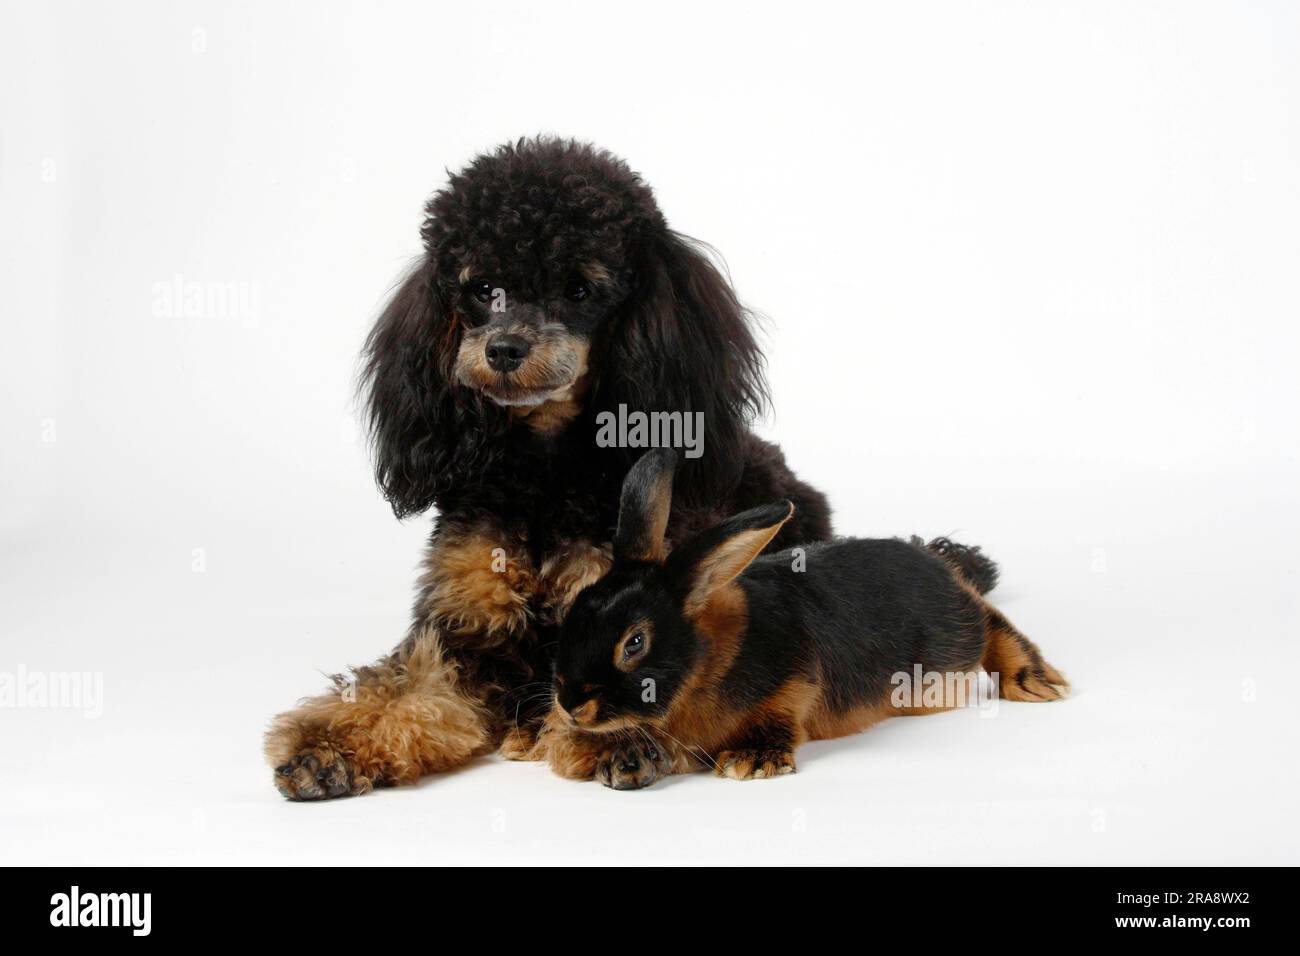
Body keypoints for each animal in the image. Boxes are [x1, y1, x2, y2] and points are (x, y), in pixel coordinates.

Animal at [537, 448, 1068, 789]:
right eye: (574, 610)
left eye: (635, 643)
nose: (570, 704)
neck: (704, 663)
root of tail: (935, 564)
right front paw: (622, 762)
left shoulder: (794, 684)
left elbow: (781, 717)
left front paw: (750, 762)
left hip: (953, 643)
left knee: (989, 619)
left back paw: (1038, 682)